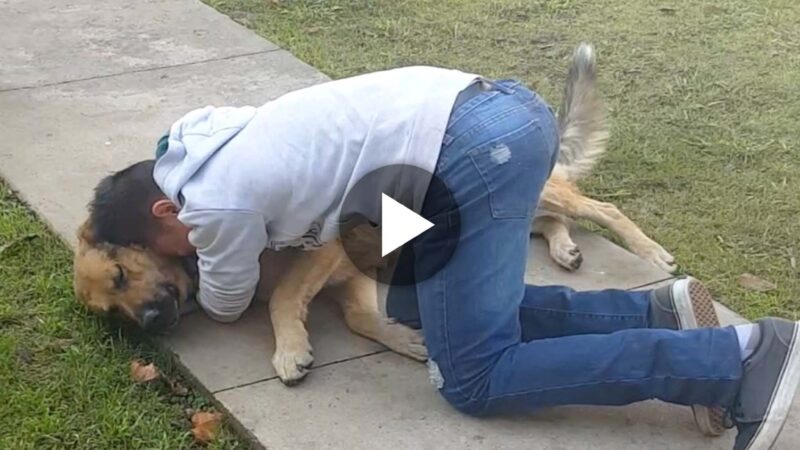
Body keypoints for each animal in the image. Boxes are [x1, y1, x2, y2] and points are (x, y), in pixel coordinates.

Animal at [73, 44, 676, 384]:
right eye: (112, 313)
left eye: (122, 274)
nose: (153, 323)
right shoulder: (353, 274)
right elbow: (359, 317)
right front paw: (400, 337)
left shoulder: (322, 240)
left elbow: (287, 297)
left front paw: (290, 348)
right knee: (551, 220)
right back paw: (565, 247)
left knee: (598, 206)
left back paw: (650, 252)